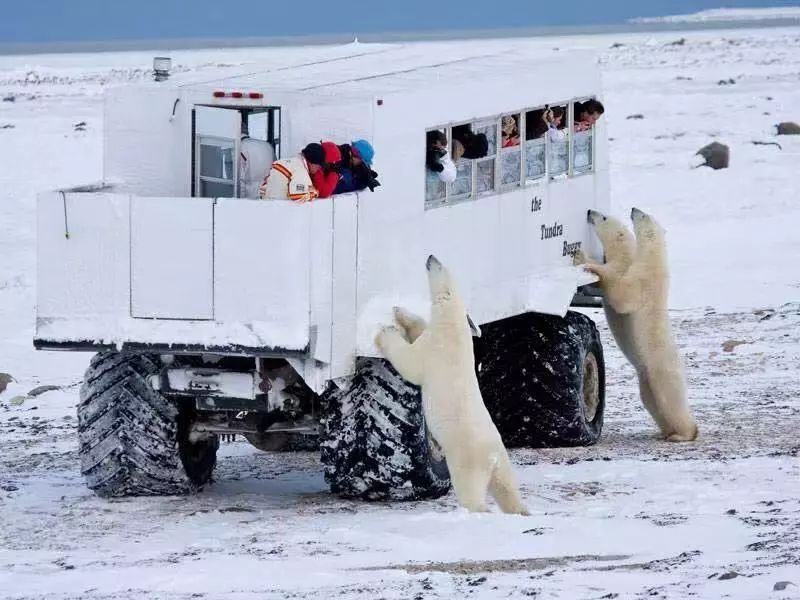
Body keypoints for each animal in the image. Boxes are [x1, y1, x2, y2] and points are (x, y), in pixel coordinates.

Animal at [376, 255, 532, 512]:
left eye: (440, 266)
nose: (430, 256)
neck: (454, 326)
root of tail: (492, 457)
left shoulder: (434, 350)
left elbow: (409, 362)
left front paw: (385, 332)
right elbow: (419, 328)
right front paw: (400, 312)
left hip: (467, 460)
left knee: (472, 492)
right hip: (503, 461)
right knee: (507, 488)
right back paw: (522, 511)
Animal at [576, 207, 700, 440]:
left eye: (603, 217)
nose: (589, 211)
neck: (652, 260)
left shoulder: (642, 281)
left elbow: (622, 296)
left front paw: (583, 258)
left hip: (662, 371)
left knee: (671, 400)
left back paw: (683, 434)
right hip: (646, 380)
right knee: (652, 402)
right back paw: (665, 432)